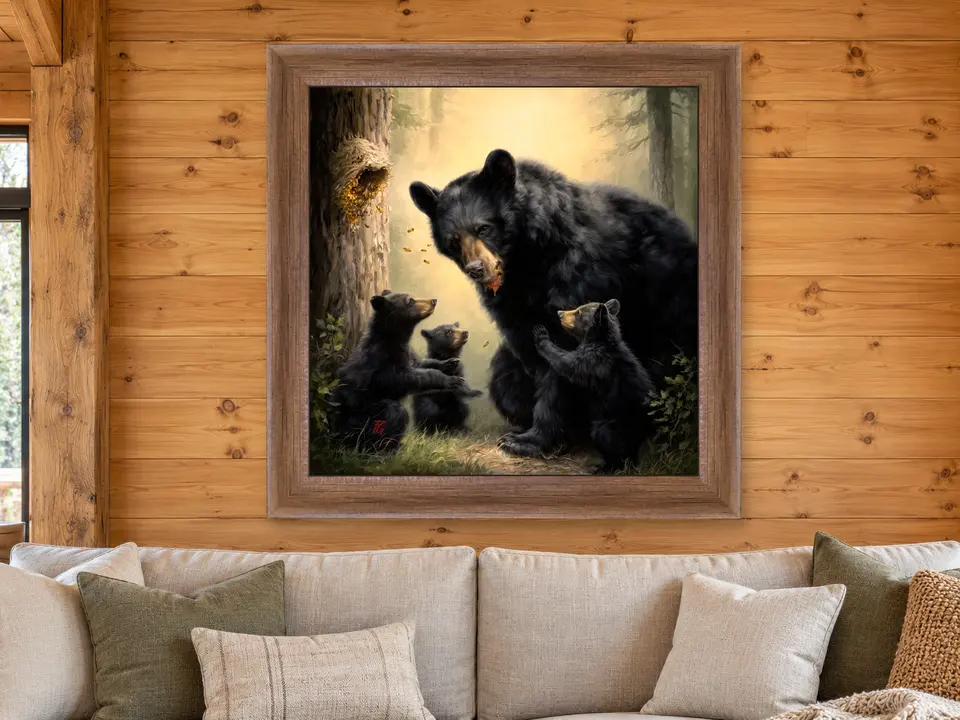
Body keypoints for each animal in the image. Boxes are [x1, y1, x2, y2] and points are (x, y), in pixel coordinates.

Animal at [330, 290, 466, 453]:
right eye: (410, 300)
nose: (434, 300)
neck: (395, 339)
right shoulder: (382, 362)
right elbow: (404, 379)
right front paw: (451, 380)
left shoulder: (406, 353)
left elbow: (419, 363)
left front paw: (449, 363)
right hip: (361, 418)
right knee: (393, 413)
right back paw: (386, 448)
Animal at [533, 299, 654, 472]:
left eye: (578, 312)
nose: (560, 313)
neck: (600, 340)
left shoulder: (596, 361)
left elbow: (569, 363)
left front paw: (541, 334)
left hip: (617, 424)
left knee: (607, 438)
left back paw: (606, 467)